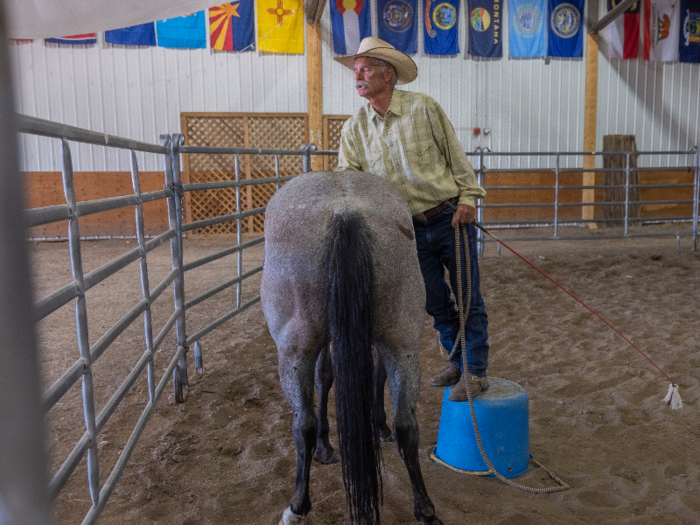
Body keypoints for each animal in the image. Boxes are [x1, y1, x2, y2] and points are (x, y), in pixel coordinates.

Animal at [262, 170, 442, 520]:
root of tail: (345, 211)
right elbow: (372, 375)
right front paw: (379, 428)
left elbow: (325, 379)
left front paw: (326, 447)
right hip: (403, 344)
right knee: (407, 425)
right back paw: (425, 507)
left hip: (294, 352)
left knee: (302, 424)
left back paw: (298, 505)